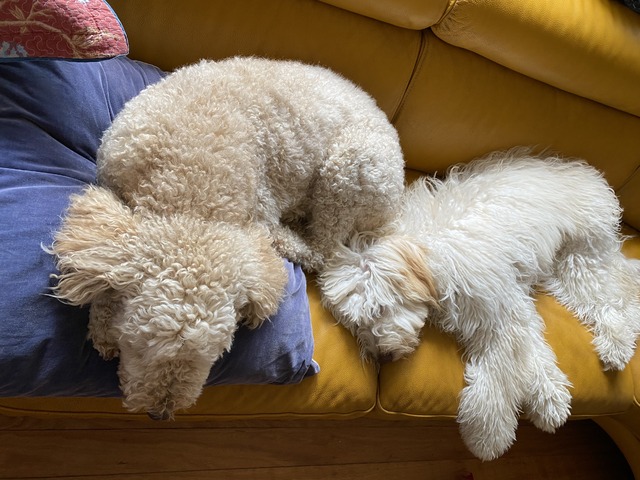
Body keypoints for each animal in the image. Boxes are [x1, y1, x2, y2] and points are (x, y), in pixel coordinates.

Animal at [50, 57, 402, 420]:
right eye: (141, 346)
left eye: (214, 355)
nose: (161, 413)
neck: (190, 196)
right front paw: (102, 324)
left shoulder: (261, 209)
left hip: (349, 170)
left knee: (322, 248)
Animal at [320, 151, 640, 462]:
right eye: (357, 326)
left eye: (378, 310)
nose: (382, 357)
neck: (429, 252)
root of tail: (584, 174)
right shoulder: (511, 309)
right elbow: (534, 354)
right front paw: (550, 398)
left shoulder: (498, 311)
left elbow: (499, 375)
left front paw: (487, 437)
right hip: (561, 271)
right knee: (623, 285)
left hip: (580, 258)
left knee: (610, 299)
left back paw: (617, 345)